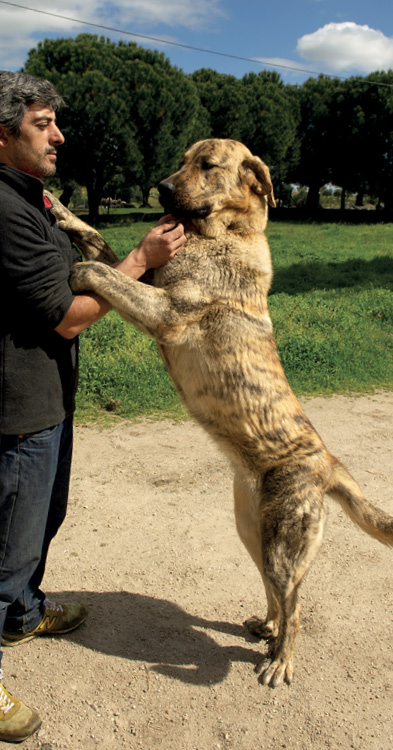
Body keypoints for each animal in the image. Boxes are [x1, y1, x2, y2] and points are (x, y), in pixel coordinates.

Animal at [45, 138, 392, 692]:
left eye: (208, 166)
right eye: (184, 159)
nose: (162, 188)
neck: (222, 233)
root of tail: (328, 464)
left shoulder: (166, 309)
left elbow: (103, 271)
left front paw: (79, 270)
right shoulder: (145, 274)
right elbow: (98, 240)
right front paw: (58, 206)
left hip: (283, 544)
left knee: (297, 606)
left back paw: (280, 661)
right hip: (251, 530)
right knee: (275, 595)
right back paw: (266, 629)